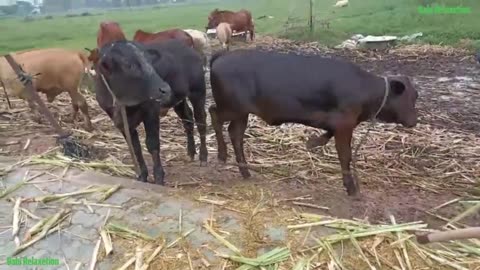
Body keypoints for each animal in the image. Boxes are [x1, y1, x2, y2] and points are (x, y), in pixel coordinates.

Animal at [93, 39, 206, 185]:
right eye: (129, 65)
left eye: (150, 62)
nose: (165, 89)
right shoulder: (120, 122)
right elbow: (135, 147)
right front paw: (142, 176)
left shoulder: (151, 111)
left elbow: (152, 143)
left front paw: (158, 177)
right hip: (178, 100)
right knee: (187, 118)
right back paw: (191, 153)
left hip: (198, 92)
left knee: (201, 120)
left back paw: (203, 157)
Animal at [208, 49, 418, 196]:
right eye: (411, 97)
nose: (414, 121)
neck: (364, 89)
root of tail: (222, 55)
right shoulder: (344, 124)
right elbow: (345, 155)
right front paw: (351, 188)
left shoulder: (337, 123)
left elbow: (328, 136)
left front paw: (313, 142)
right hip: (232, 107)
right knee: (213, 113)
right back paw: (222, 154)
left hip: (242, 113)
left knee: (235, 133)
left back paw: (245, 171)